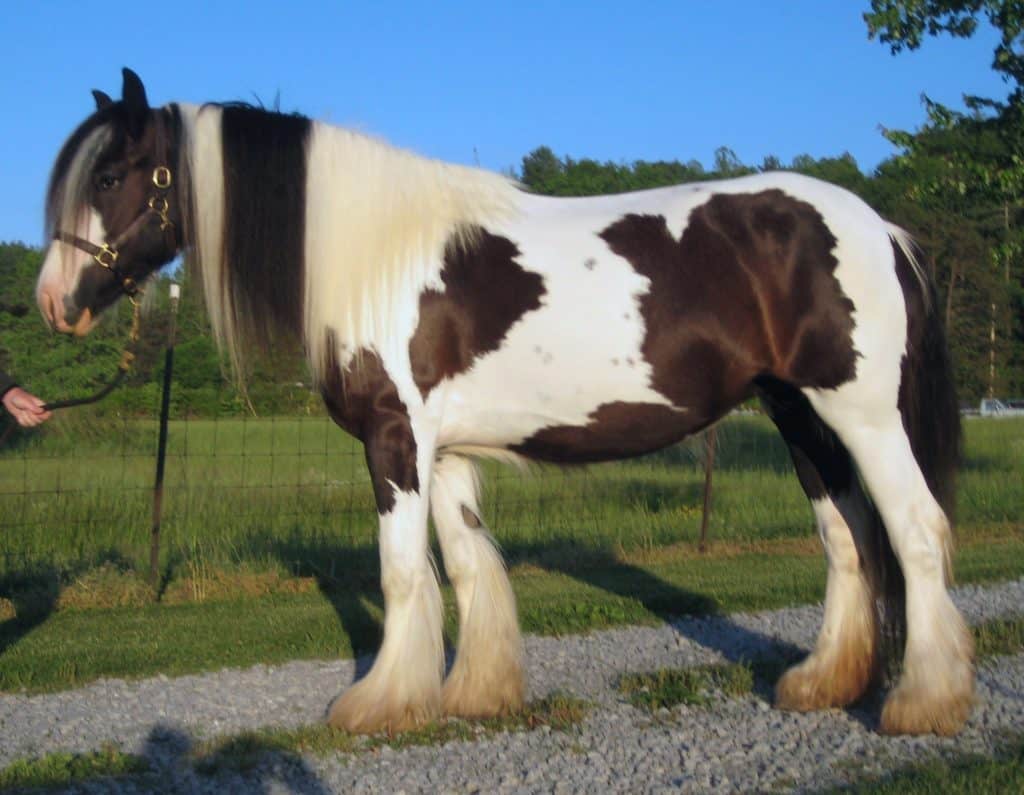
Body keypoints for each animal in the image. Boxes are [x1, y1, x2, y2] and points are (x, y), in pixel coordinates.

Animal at [36, 69, 973, 737]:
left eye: (112, 173)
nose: (54, 301)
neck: (374, 259)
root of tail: (879, 228)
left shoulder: (394, 440)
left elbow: (404, 570)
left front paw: (378, 703)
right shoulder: (445, 451)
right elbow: (469, 566)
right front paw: (472, 694)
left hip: (861, 414)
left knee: (915, 531)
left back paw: (925, 702)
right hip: (800, 415)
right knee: (847, 537)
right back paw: (823, 683)